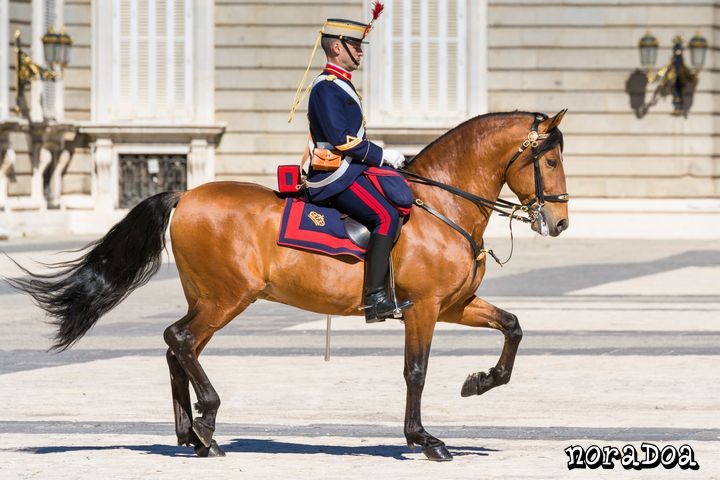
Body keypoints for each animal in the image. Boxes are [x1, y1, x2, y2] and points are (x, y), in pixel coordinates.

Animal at [9, 109, 568, 462]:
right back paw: (206, 424)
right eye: (551, 160)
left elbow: (513, 327)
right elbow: (416, 372)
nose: (560, 223)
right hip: (227, 298)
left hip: (209, 299)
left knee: (177, 347)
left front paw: (481, 381)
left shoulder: (456, 304)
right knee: (179, 340)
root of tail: (186, 195)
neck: (441, 206)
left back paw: (192, 432)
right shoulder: (424, 308)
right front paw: (423, 438)